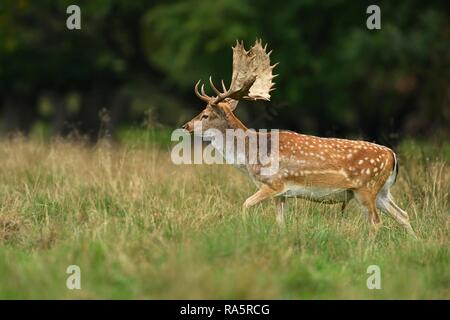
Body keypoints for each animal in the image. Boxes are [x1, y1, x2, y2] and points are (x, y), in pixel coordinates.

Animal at [181, 38, 416, 236]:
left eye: (205, 114)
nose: (186, 125)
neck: (250, 156)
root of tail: (392, 155)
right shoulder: (281, 195)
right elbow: (280, 223)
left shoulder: (273, 183)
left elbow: (245, 204)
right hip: (382, 192)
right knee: (403, 215)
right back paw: (414, 244)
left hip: (365, 189)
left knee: (376, 222)